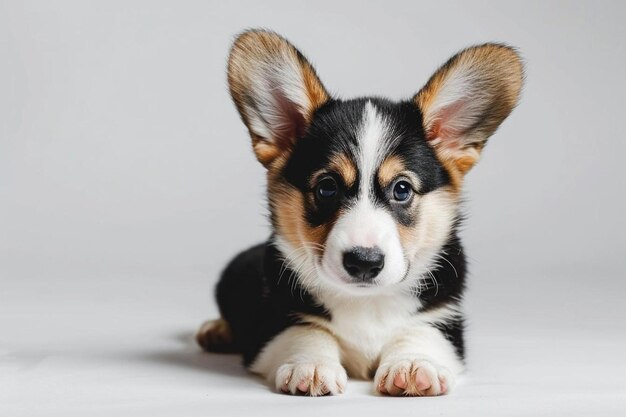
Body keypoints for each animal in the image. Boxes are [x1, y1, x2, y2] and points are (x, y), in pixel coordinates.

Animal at [196, 30, 520, 396]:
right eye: (327, 187)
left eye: (402, 189)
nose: (364, 262)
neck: (366, 301)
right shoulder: (275, 323)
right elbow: (307, 332)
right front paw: (311, 366)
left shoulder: (445, 322)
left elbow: (420, 332)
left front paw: (413, 364)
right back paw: (216, 330)